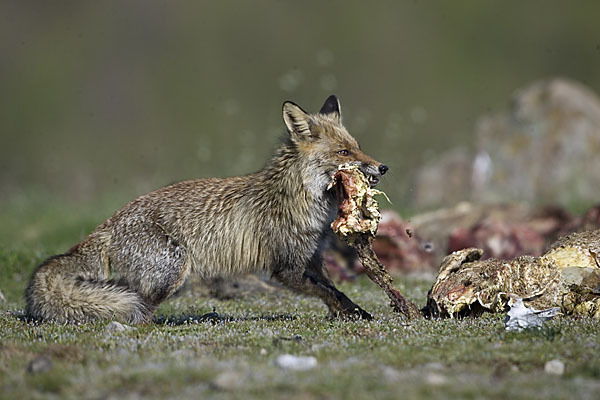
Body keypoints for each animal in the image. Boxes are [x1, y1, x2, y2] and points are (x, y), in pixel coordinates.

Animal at [25, 95, 390, 324]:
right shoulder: (284, 267)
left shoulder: (312, 257)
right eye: (344, 152)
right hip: (173, 268)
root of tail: (108, 223)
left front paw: (347, 314)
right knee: (139, 311)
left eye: (358, 147)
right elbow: (329, 292)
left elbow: (334, 291)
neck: (300, 199)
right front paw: (355, 315)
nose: (383, 167)